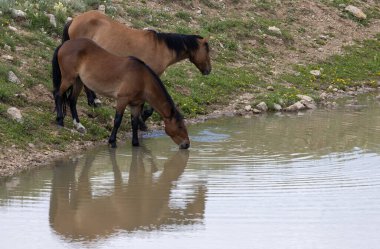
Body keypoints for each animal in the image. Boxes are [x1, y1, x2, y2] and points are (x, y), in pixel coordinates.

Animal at [51, 38, 190, 149]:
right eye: (180, 127)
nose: (187, 144)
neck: (142, 78)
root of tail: (65, 44)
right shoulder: (122, 100)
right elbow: (117, 120)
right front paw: (112, 141)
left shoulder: (136, 104)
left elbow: (134, 123)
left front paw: (135, 143)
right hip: (69, 78)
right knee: (58, 95)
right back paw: (60, 120)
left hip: (78, 81)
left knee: (72, 100)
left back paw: (78, 125)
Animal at [61, 10, 212, 129]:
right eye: (207, 50)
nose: (209, 70)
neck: (160, 48)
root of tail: (74, 20)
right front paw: (142, 121)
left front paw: (141, 120)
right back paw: (94, 101)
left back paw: (93, 100)